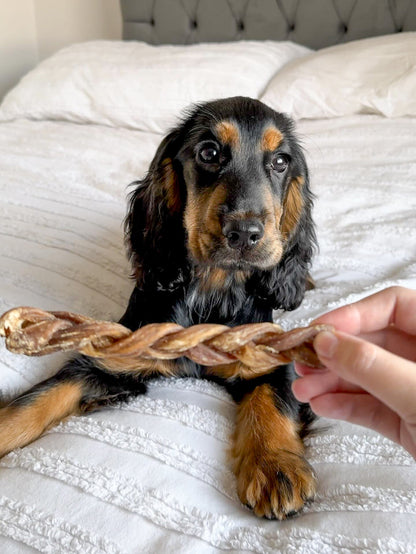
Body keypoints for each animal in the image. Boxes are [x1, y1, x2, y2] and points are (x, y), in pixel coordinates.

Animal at [0, 96, 316, 516]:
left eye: (281, 161)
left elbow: (272, 398)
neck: (210, 291)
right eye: (209, 152)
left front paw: (274, 467)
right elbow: (31, 404)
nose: (245, 234)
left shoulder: (265, 354)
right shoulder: (114, 355)